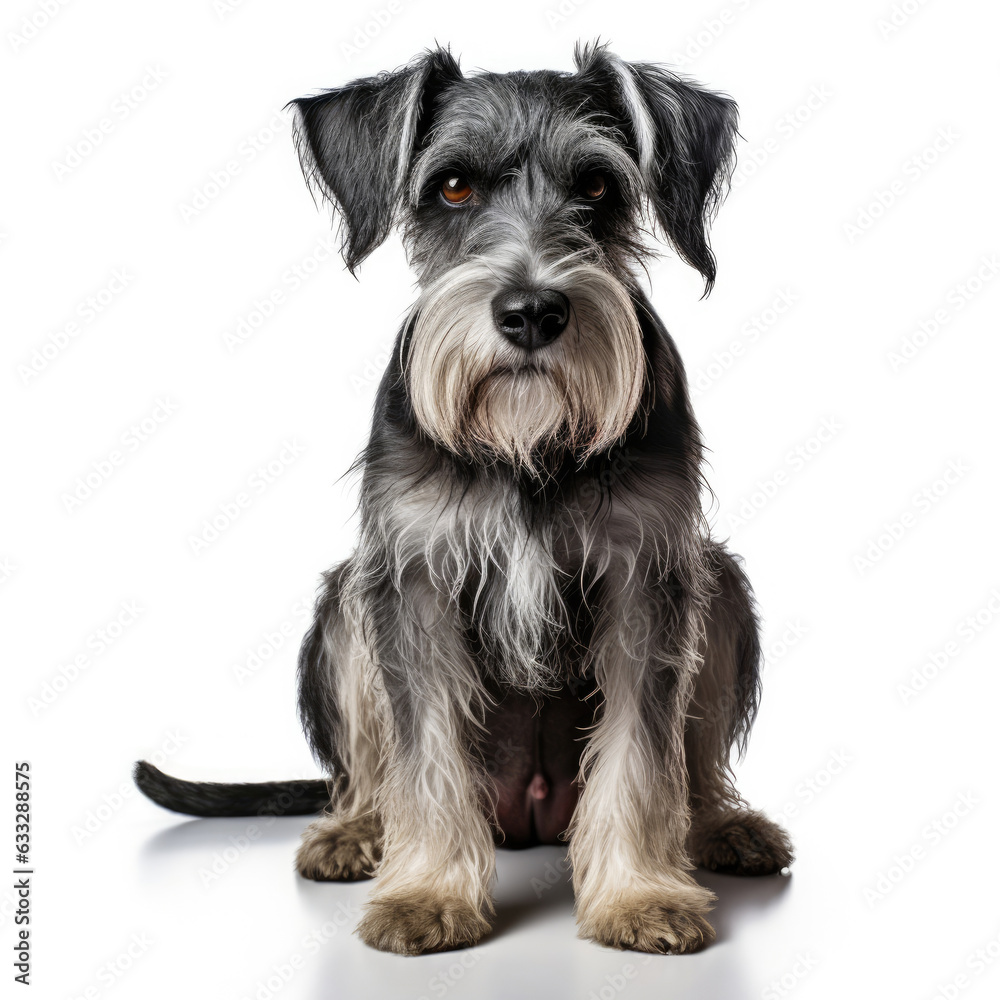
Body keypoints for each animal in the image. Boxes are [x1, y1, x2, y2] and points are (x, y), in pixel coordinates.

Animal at [135, 43, 788, 956]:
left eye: (597, 186)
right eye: (452, 187)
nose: (532, 311)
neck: (527, 446)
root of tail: (531, 818)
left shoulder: (646, 581)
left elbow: (641, 758)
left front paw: (638, 895)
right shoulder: (412, 581)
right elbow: (426, 757)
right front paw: (428, 893)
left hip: (718, 586)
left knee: (690, 773)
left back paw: (723, 827)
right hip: (345, 604)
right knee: (369, 774)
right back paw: (353, 831)